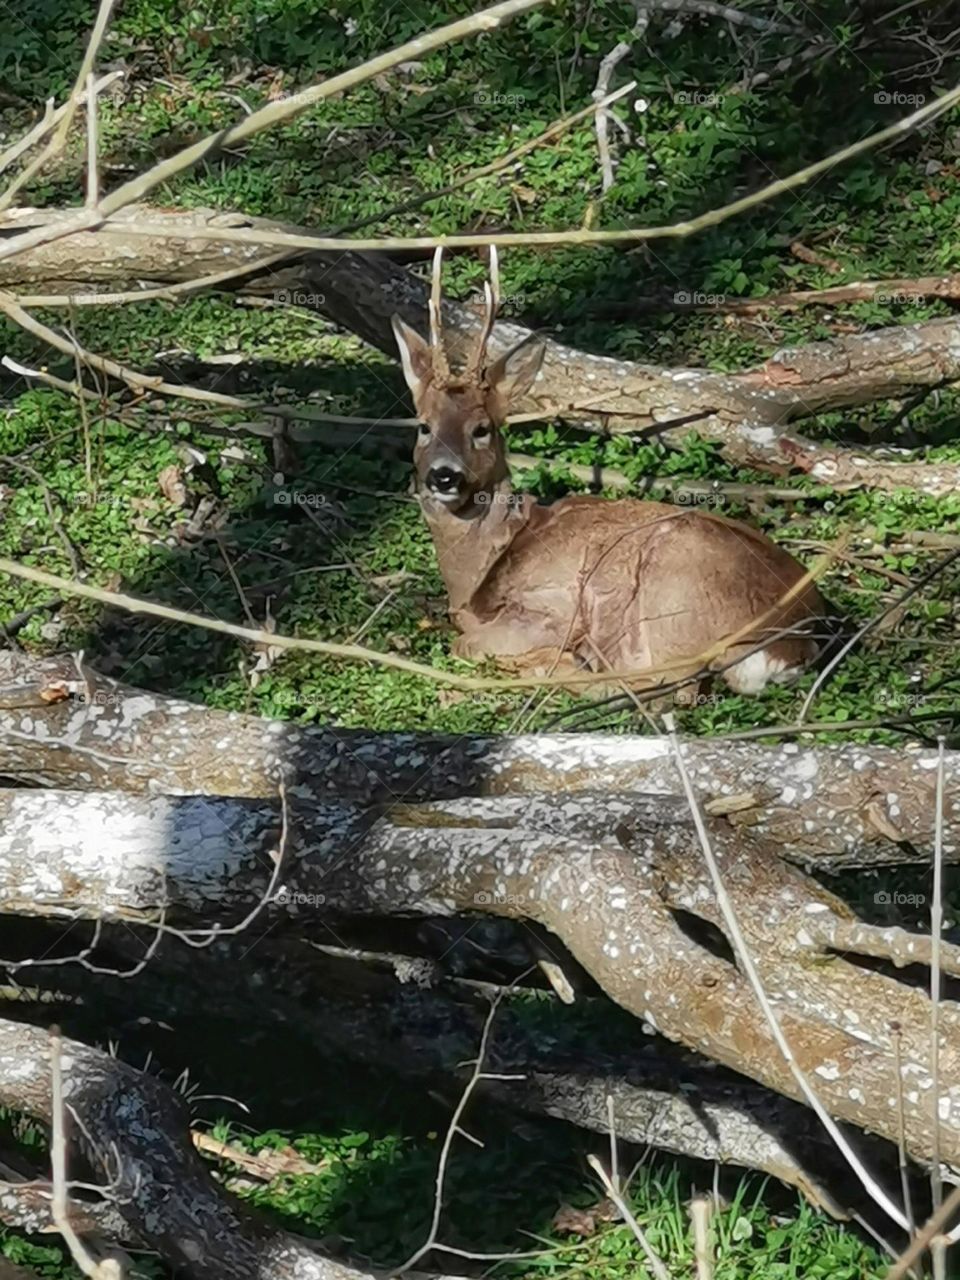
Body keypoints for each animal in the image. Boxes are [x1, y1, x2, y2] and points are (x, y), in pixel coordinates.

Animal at [391, 249, 829, 701]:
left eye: (482, 428)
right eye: (424, 426)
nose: (444, 476)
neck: (474, 577)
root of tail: (794, 640)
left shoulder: (551, 607)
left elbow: (467, 643)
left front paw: (551, 659)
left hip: (671, 601)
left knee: (670, 685)